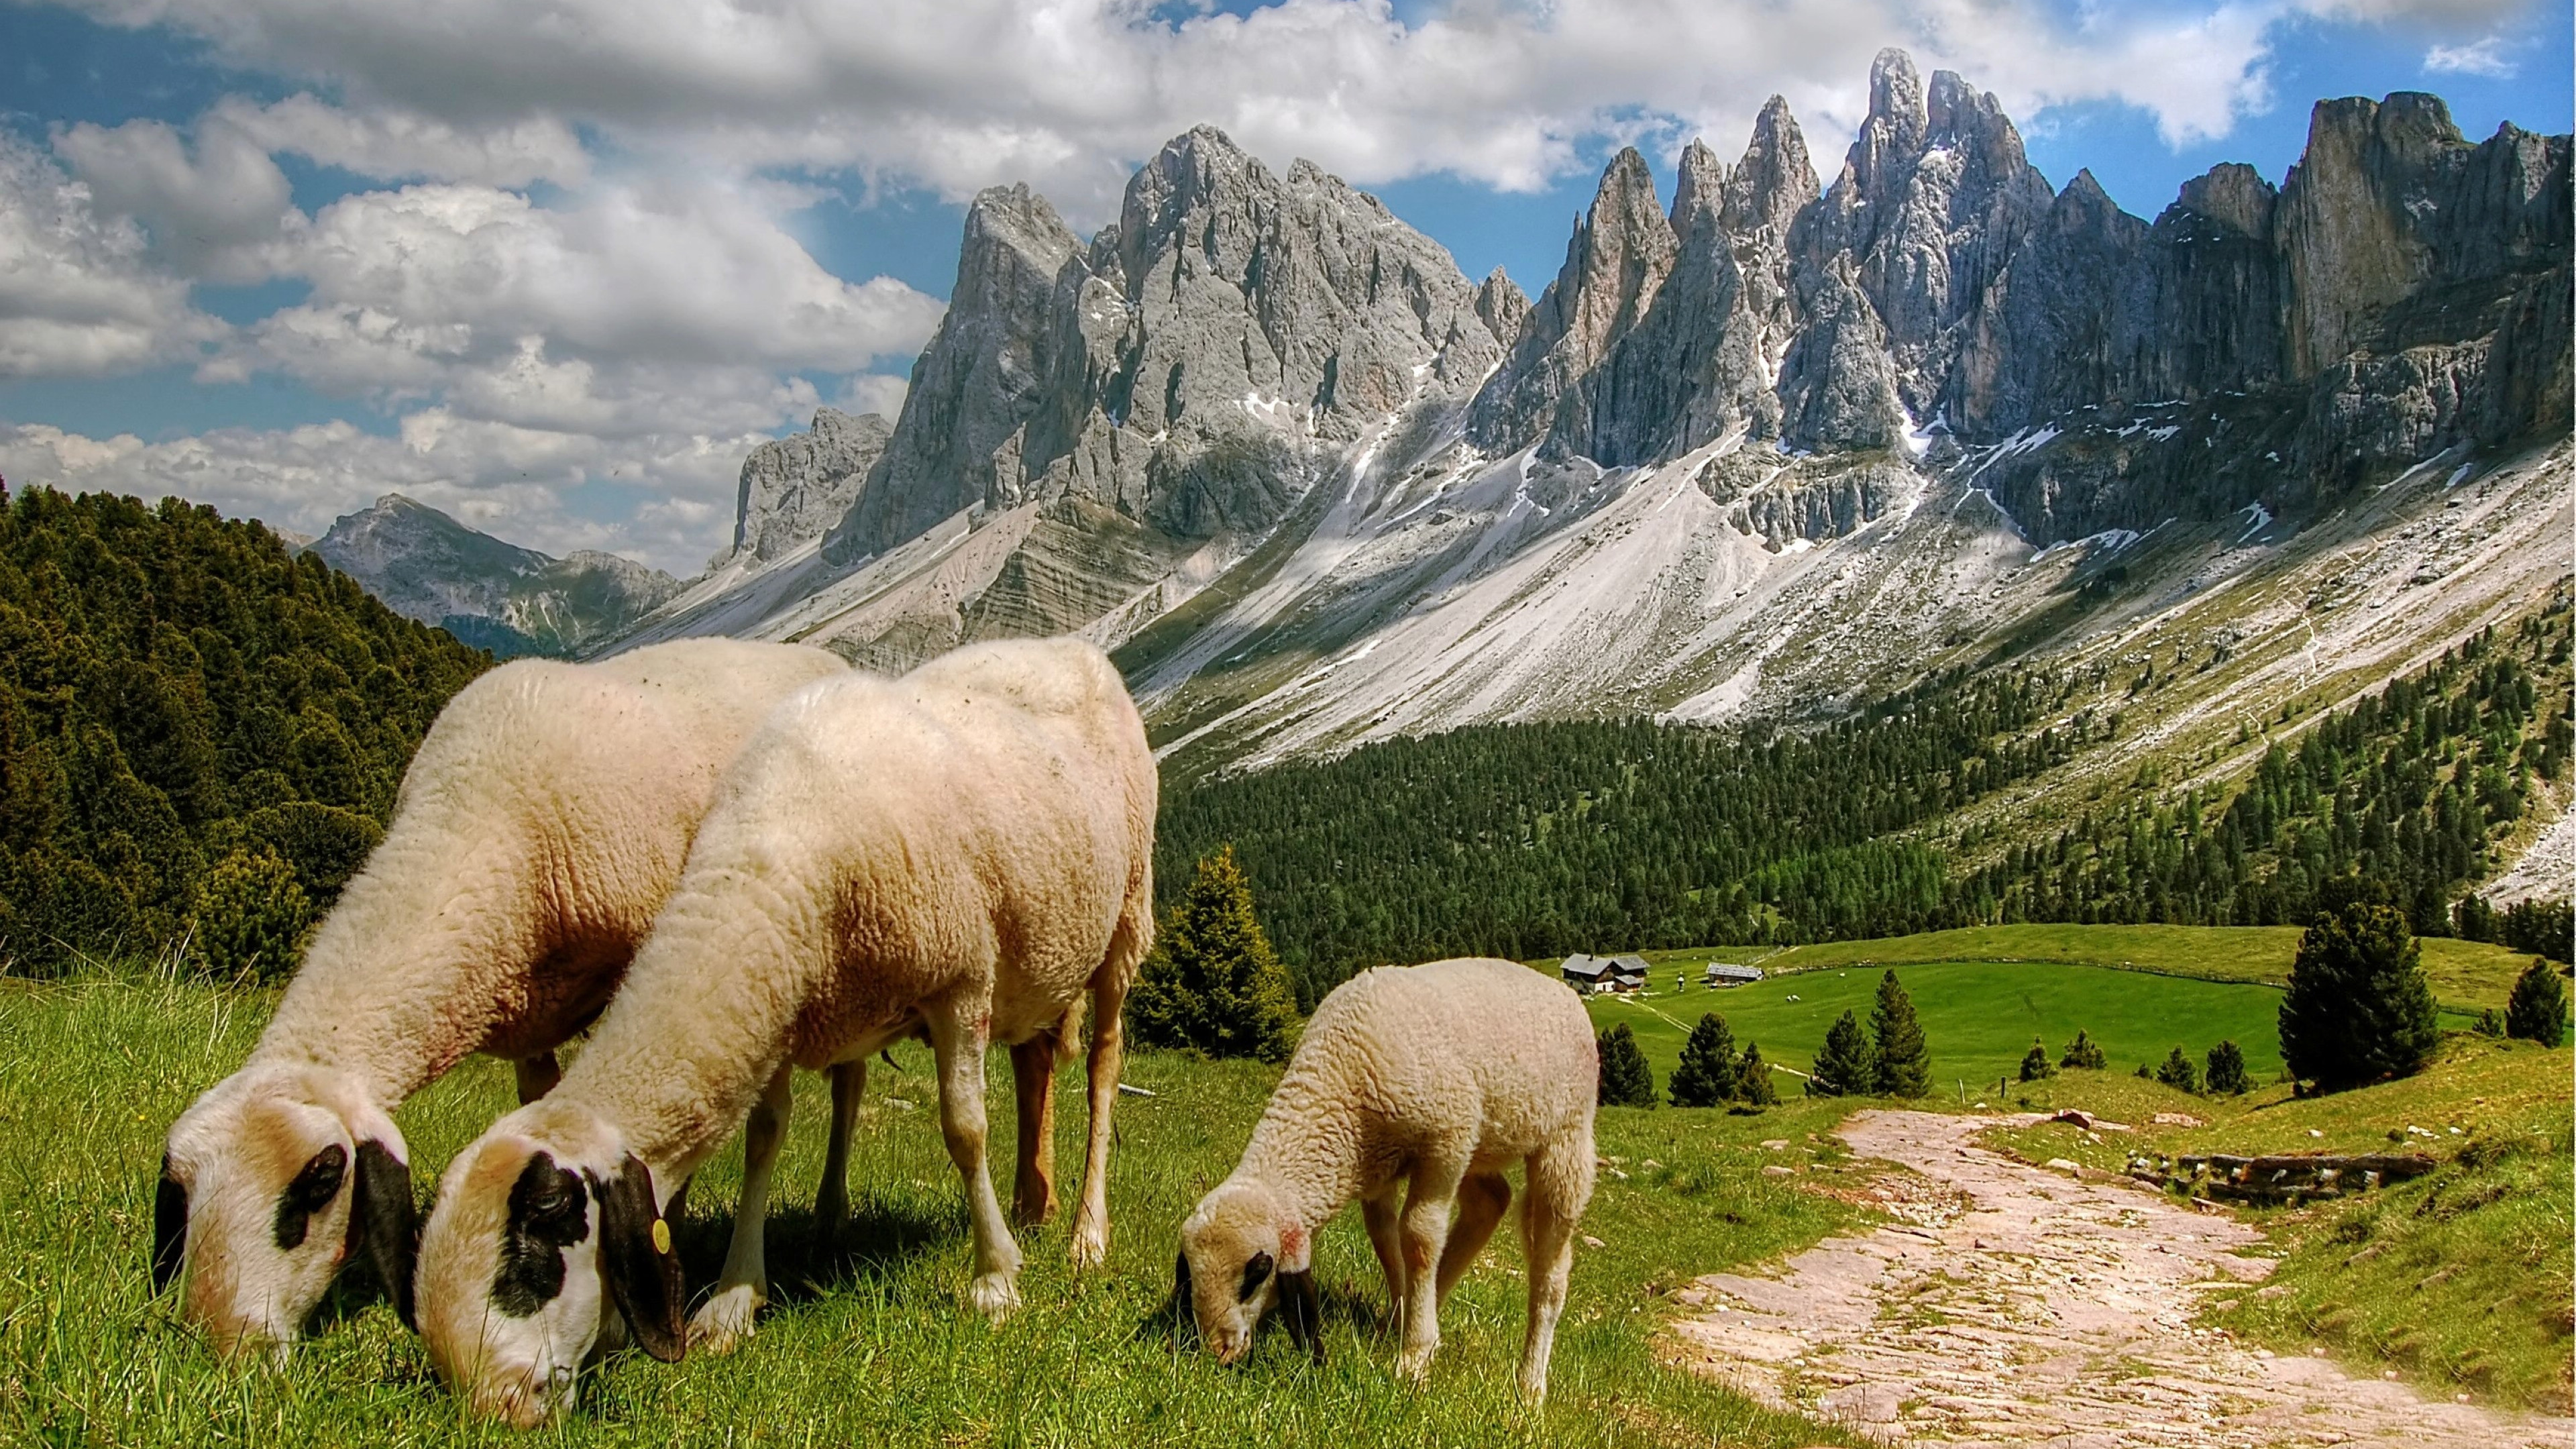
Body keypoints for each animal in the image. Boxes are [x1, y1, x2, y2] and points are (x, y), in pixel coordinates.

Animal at [153, 637, 845, 1350]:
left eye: (321, 1179)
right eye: (181, 1187)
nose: (223, 1340)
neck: (474, 816)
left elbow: (750, 1126)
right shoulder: (528, 1007)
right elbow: (547, 1104)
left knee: (837, 1093)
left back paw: (821, 1218)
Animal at [412, 634, 1159, 1423]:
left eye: (535, 1258)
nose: (498, 1410)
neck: (773, 855)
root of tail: (1065, 644)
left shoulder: (960, 979)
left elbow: (964, 1130)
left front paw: (994, 1279)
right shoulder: (783, 1001)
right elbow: (763, 1138)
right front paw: (733, 1300)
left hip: (1126, 915)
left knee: (1103, 1069)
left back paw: (1085, 1234)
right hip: (1041, 950)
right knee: (1036, 1059)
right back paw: (1033, 1207)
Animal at [1179, 954, 1587, 1392]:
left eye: (1257, 1274)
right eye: (1190, 1274)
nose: (1219, 1352)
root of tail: (1559, 989)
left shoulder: (1446, 1142)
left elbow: (1418, 1239)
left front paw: (1414, 1355)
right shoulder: (1376, 1166)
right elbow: (1383, 1236)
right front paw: (1402, 1320)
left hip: (1565, 1139)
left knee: (1551, 1272)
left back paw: (1530, 1385)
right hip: (1484, 1142)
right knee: (1490, 1202)